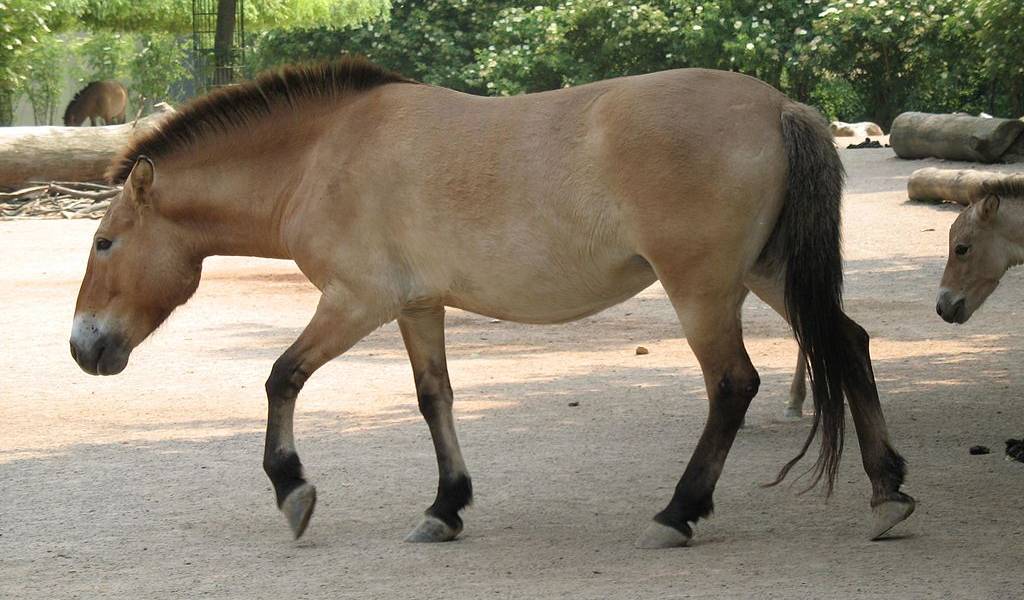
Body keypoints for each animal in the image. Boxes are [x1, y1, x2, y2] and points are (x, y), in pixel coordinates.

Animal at [68, 57, 917, 544]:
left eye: (104, 242)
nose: (84, 347)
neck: (322, 154)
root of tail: (781, 108)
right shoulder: (417, 306)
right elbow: (434, 399)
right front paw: (446, 506)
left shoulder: (356, 301)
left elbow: (282, 377)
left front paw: (293, 490)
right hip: (767, 275)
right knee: (848, 343)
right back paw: (886, 492)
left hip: (704, 290)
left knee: (734, 386)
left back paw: (679, 512)